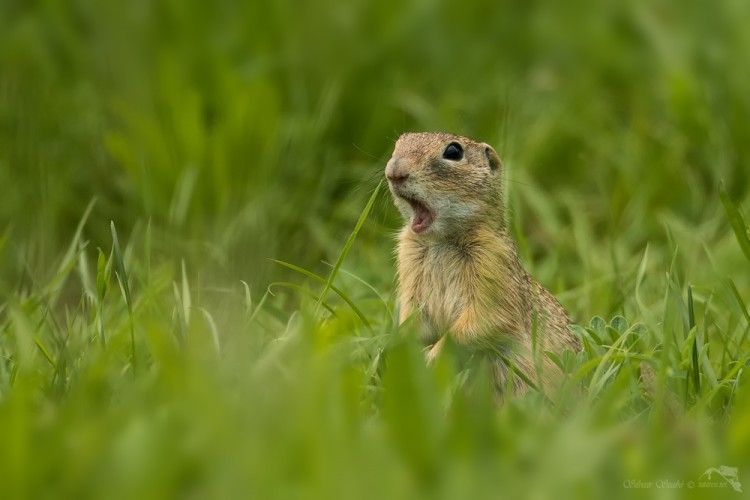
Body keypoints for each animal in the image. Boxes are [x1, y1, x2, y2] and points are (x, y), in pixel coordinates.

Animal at [388, 131, 580, 396]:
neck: (440, 241)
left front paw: (431, 357)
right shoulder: (410, 277)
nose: (394, 172)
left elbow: (481, 321)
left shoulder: (492, 267)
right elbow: (412, 318)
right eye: (398, 144)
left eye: (453, 152)